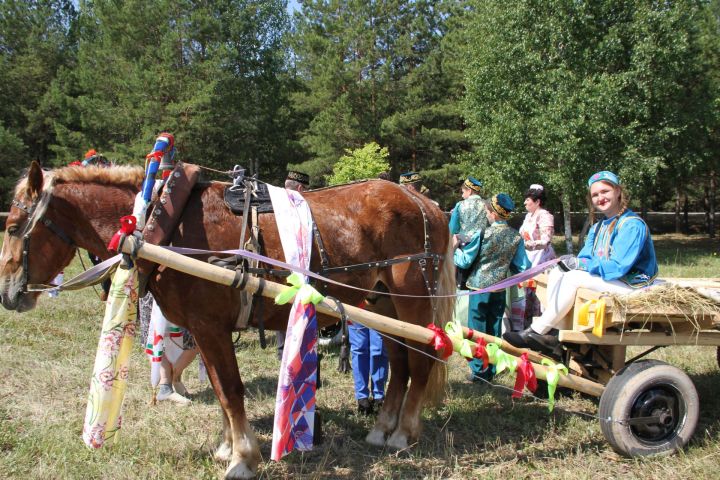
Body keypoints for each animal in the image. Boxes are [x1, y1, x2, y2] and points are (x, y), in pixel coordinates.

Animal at [0, 162, 452, 480]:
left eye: (13, 225)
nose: (7, 293)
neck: (166, 225)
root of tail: (425, 203)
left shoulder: (209, 326)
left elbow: (231, 390)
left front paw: (244, 459)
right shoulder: (204, 330)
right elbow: (219, 389)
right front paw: (228, 447)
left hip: (412, 301)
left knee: (421, 362)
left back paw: (403, 433)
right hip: (382, 305)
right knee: (399, 364)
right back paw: (381, 428)